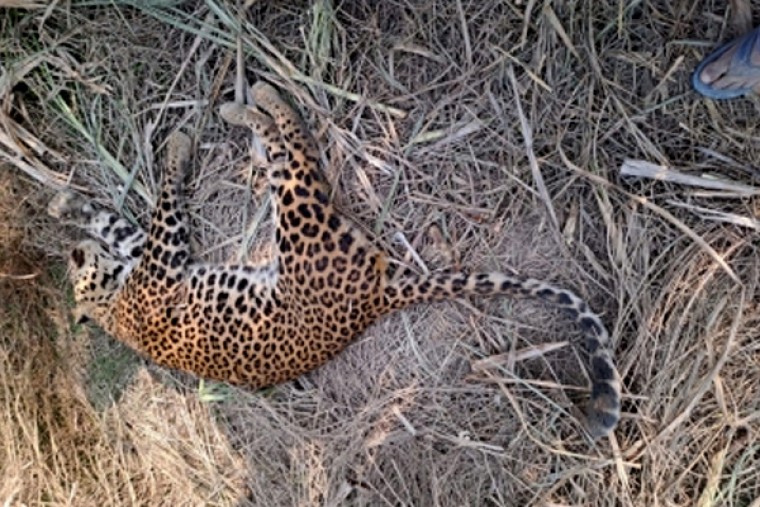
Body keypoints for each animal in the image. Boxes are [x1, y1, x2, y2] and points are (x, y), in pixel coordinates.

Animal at [49, 82, 621, 439]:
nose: (74, 256)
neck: (114, 309)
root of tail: (377, 295)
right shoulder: (163, 260)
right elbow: (163, 205)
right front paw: (177, 148)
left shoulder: (149, 255)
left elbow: (123, 222)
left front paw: (68, 205)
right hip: (303, 225)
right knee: (296, 153)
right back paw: (254, 102)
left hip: (295, 222)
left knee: (289, 152)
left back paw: (247, 103)